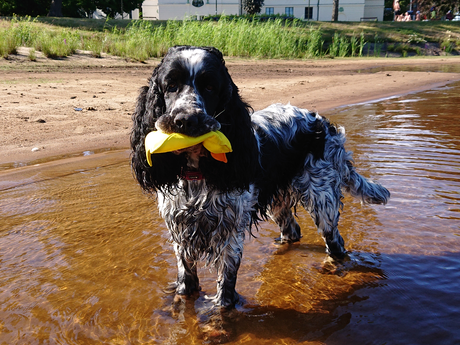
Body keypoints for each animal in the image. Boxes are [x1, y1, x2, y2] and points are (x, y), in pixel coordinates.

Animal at [131, 45, 390, 306]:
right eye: (170, 85)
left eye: (210, 87)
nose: (185, 120)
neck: (198, 172)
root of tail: (325, 124)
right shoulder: (180, 230)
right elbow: (186, 278)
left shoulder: (230, 232)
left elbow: (225, 288)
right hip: (279, 202)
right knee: (292, 230)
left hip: (322, 200)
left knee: (335, 242)